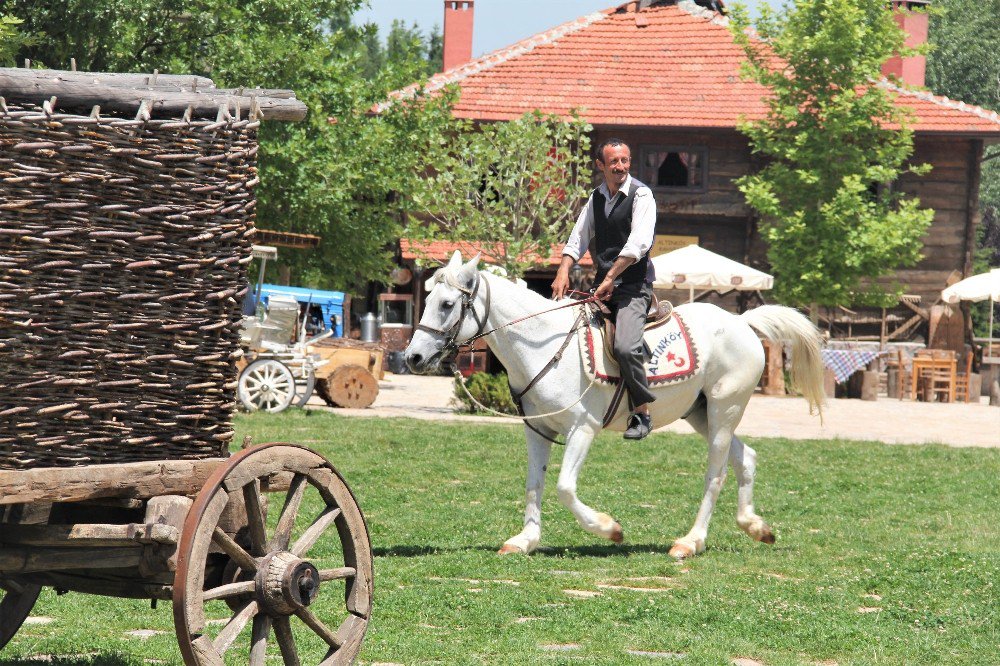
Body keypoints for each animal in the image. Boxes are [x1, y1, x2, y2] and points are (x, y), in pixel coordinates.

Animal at [402, 252, 824, 556]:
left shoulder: (582, 429)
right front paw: (525, 540)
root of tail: (742, 322)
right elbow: (534, 483)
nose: (413, 358)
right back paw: (756, 527)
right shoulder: (537, 429)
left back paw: (690, 542)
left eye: (446, 304)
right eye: (428, 299)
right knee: (745, 457)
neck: (542, 346)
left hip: (724, 411)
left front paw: (609, 528)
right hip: (701, 413)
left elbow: (564, 487)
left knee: (716, 474)